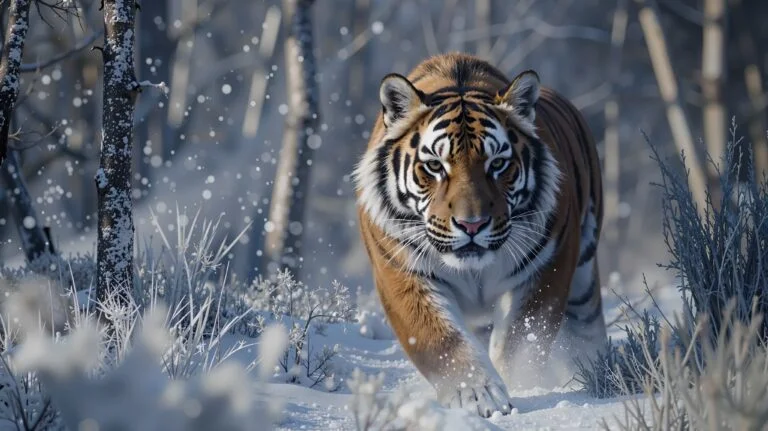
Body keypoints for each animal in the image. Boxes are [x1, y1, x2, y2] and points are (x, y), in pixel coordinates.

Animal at [353, 53, 607, 418]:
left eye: (497, 164)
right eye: (435, 166)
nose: (471, 225)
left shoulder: (547, 267)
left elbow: (521, 341)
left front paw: (517, 385)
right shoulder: (400, 271)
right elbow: (440, 338)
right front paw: (478, 395)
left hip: (583, 282)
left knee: (587, 328)